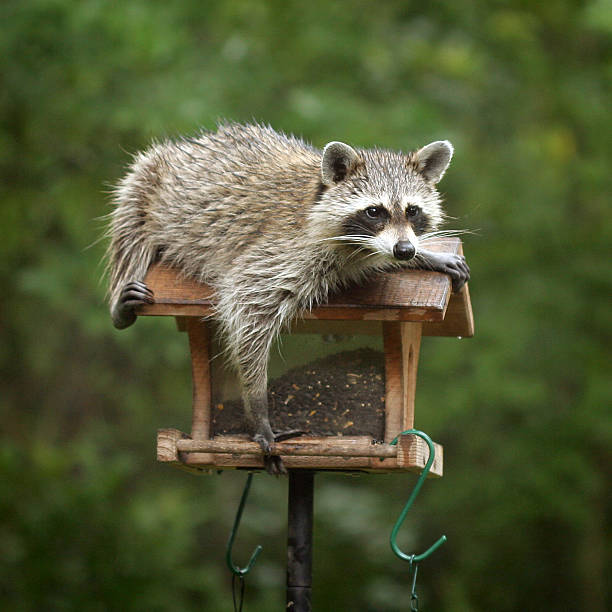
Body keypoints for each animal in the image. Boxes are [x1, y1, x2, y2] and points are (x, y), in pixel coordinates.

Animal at [107, 120, 468, 474]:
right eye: (374, 211)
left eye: (412, 210)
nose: (404, 250)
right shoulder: (282, 251)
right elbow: (246, 305)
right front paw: (257, 406)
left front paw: (424, 255)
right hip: (145, 184)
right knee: (129, 231)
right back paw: (120, 303)